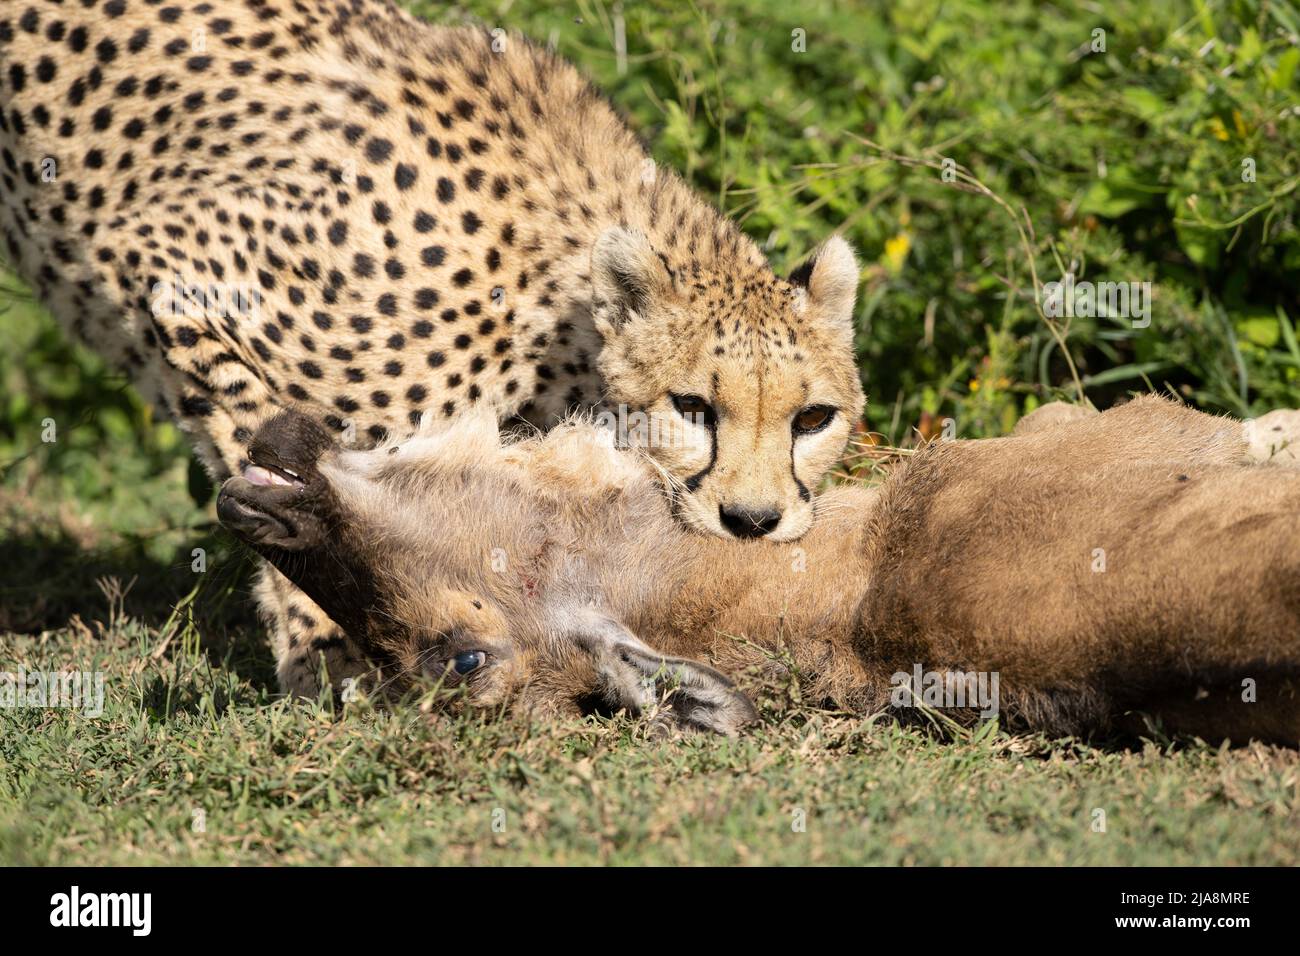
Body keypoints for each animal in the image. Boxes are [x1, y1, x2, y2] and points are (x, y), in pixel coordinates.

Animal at [2, 0, 873, 697]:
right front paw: (322, 642)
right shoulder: (166, 262)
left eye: (813, 419)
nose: (753, 522)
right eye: (692, 407)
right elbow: (263, 437)